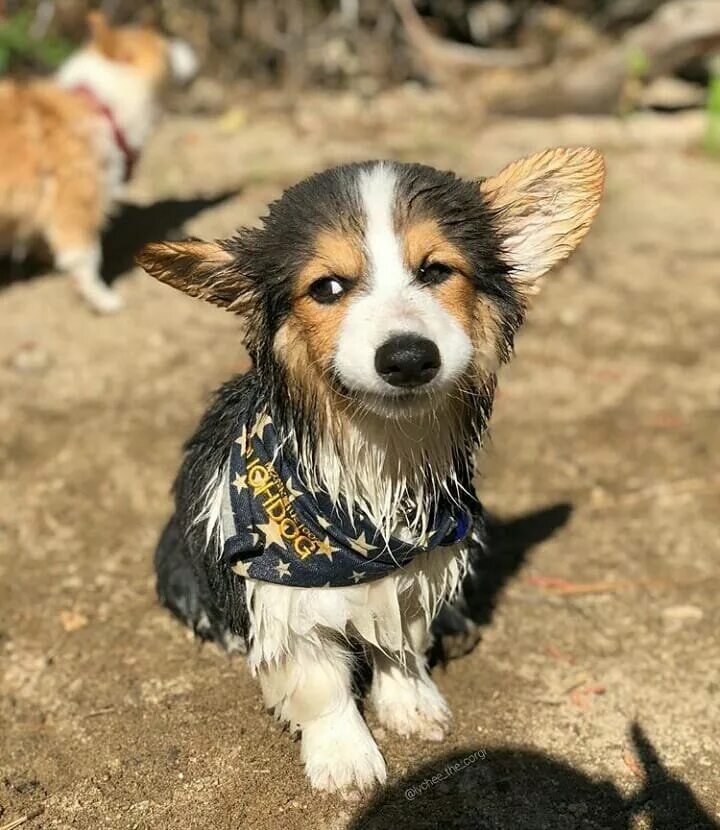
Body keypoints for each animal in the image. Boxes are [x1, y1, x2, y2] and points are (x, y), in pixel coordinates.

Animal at [0, 12, 195, 312]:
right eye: (168, 48)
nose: (192, 48)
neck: (101, 106)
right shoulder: (77, 202)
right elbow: (86, 258)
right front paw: (101, 297)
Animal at [138, 150, 604, 792]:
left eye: (435, 271)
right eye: (327, 287)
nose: (408, 358)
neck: (377, 465)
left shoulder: (416, 572)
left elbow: (400, 646)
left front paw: (411, 706)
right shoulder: (283, 597)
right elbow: (320, 686)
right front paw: (345, 759)